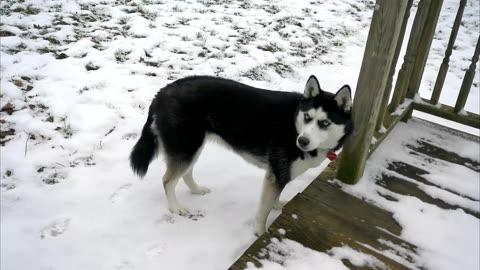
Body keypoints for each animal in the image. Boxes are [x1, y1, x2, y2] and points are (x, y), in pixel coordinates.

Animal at [130, 75, 352, 235]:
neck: (293, 124)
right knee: (168, 180)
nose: (302, 141)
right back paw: (176, 208)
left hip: (192, 147)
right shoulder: (276, 174)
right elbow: (263, 212)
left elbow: (275, 198)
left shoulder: (279, 174)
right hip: (186, 146)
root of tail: (162, 91)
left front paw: (279, 205)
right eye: (307, 117)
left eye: (325, 123)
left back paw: (196, 189)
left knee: (185, 173)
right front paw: (261, 233)